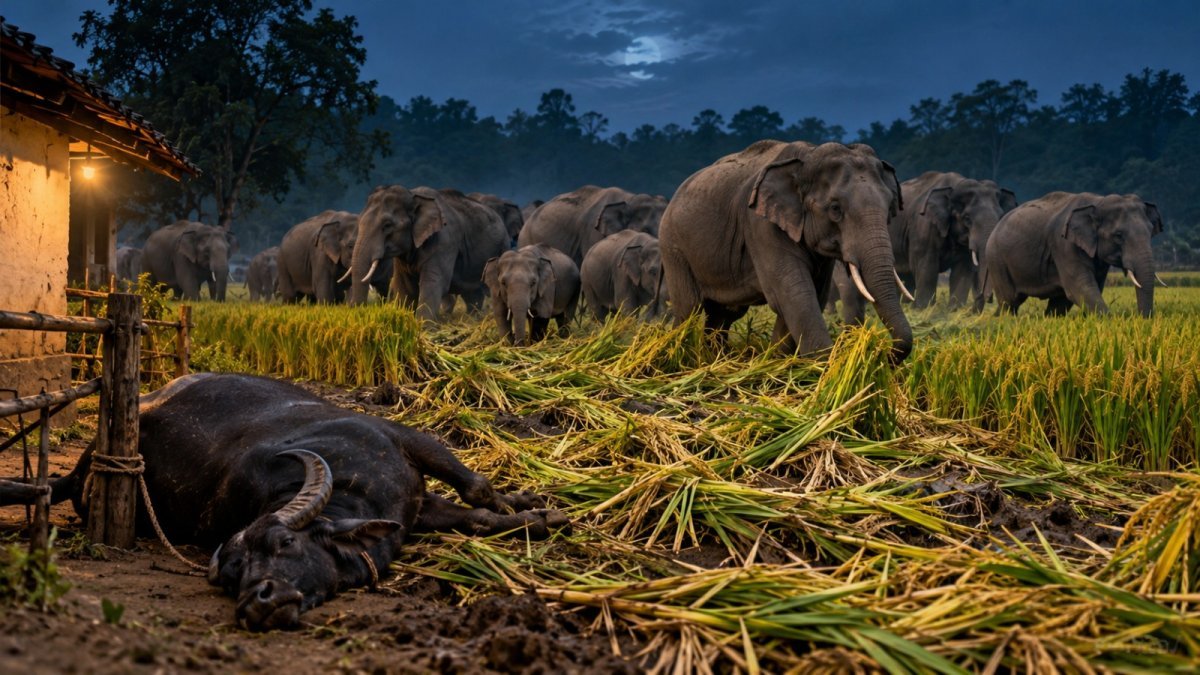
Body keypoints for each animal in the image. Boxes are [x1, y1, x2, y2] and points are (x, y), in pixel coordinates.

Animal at [350, 186, 509, 320]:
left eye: (387, 225)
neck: (414, 196)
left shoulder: (444, 242)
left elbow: (433, 282)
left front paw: (425, 329)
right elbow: (406, 286)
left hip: (503, 247)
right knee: (473, 295)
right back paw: (472, 319)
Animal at [659, 140, 912, 361]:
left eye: (890, 207)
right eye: (835, 209)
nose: (881, 353)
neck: (806, 157)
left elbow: (810, 296)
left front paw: (776, 361)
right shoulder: (761, 226)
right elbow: (793, 295)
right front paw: (824, 367)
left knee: (724, 314)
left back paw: (713, 358)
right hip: (673, 247)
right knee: (689, 308)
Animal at [886, 172, 1017, 311]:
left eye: (1001, 215)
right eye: (967, 218)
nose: (989, 298)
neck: (955, 185)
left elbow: (962, 271)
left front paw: (954, 310)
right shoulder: (923, 227)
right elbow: (926, 267)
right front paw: (924, 309)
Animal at [986, 192, 1162, 317]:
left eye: (1150, 230)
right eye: (1118, 235)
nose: (1141, 318)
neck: (1098, 201)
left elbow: (1090, 287)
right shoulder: (1064, 245)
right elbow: (1080, 287)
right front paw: (1111, 320)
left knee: (1056, 302)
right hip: (996, 260)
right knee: (1009, 301)